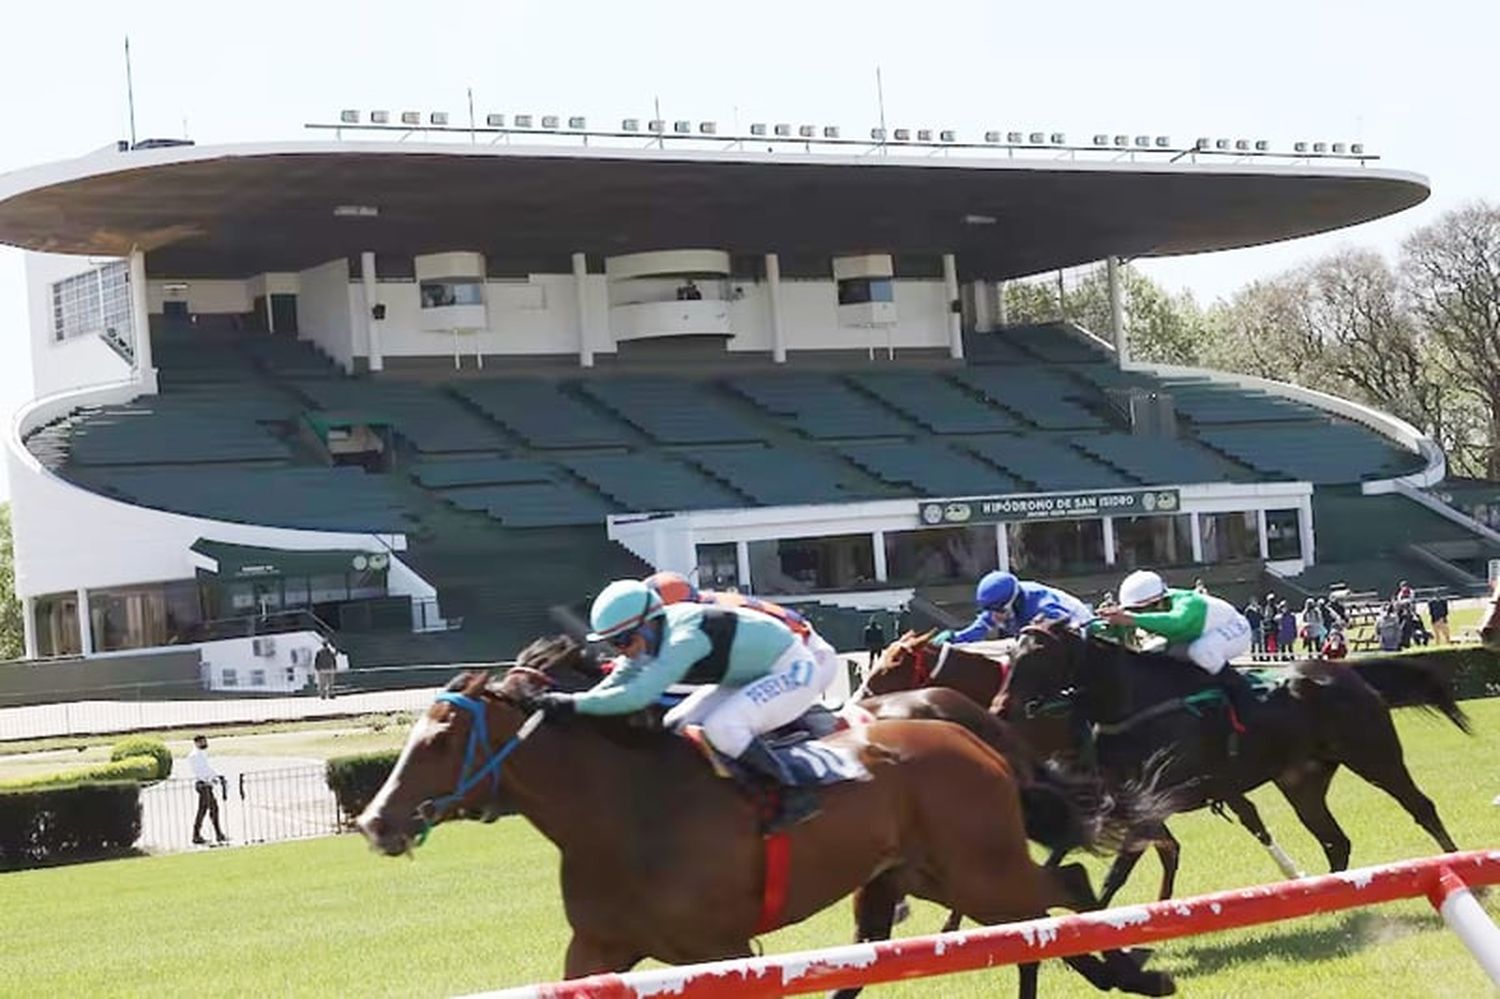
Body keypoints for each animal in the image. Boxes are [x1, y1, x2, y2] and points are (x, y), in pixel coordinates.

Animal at [360, 633, 1170, 990]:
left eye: (440, 738)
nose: (375, 821)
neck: (626, 816)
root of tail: (969, 735)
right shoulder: (598, 949)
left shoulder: (718, 949)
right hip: (925, 873)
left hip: (980, 868)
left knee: (1061, 893)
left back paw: (1136, 971)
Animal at [996, 615, 1464, 894]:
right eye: (1010, 652)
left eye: (1040, 653)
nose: (1001, 707)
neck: (1135, 702)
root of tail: (1347, 672)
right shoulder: (1119, 798)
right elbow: (1073, 843)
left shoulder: (1165, 796)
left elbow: (1121, 868)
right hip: (1302, 782)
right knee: (1336, 840)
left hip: (1375, 757)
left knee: (1421, 807)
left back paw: (1459, 865)